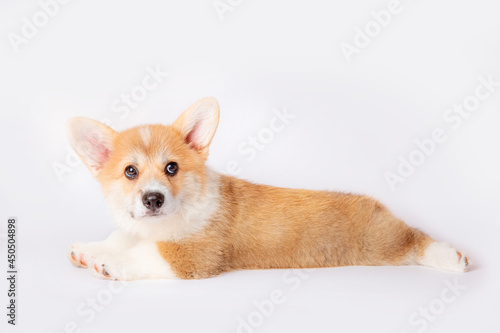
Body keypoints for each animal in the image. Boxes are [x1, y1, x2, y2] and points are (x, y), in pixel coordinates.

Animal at [66, 97, 468, 278]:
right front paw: (89, 249)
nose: (153, 199)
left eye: (172, 168)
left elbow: (144, 253)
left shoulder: (195, 255)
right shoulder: (138, 228)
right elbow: (120, 237)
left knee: (414, 238)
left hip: (380, 241)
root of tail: (374, 204)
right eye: (130, 172)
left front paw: (109, 262)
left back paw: (451, 258)